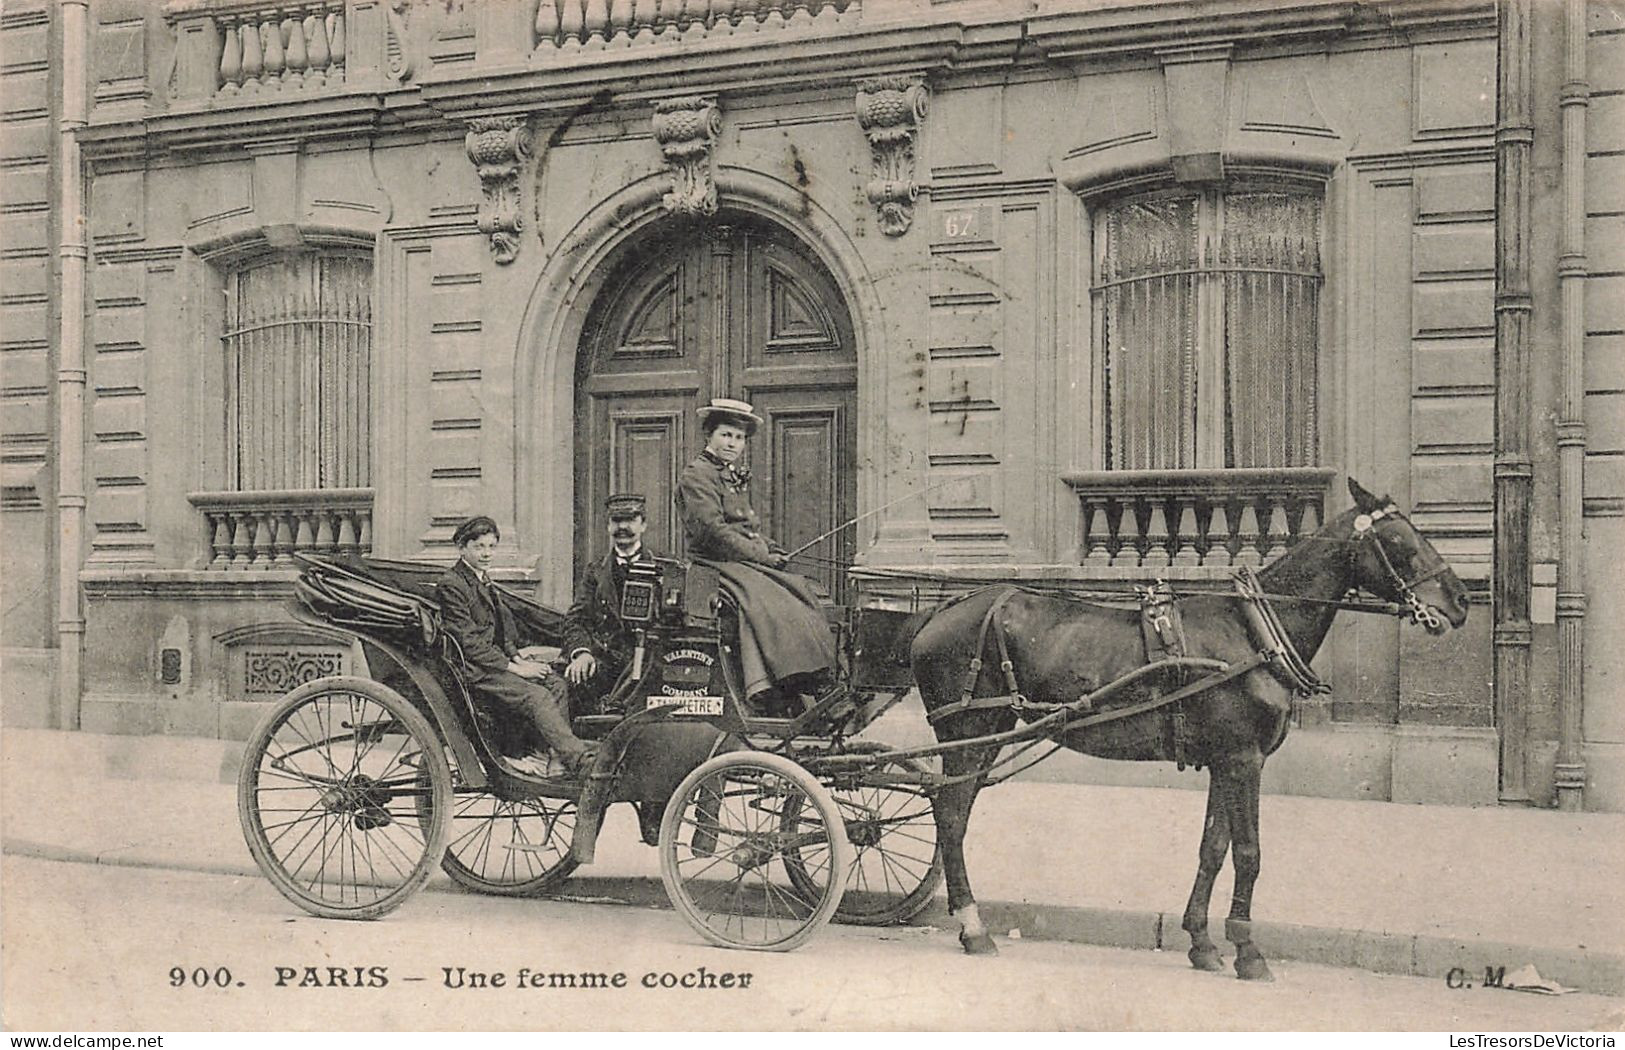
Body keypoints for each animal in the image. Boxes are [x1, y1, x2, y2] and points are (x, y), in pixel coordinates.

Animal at [910, 481, 1469, 981]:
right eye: (1400, 541)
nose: (1461, 600)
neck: (1252, 633)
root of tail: (939, 612)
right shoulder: (1245, 759)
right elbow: (1249, 853)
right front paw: (1248, 950)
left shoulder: (1226, 760)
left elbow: (1213, 849)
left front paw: (1202, 942)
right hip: (969, 731)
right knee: (951, 817)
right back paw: (973, 926)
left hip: (988, 733)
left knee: (951, 812)